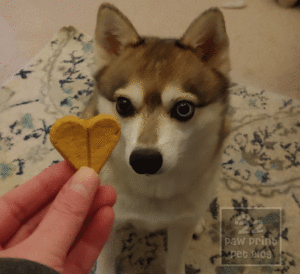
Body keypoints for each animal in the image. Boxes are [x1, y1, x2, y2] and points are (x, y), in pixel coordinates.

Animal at [81, 3, 231, 272]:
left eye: (184, 109)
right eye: (123, 105)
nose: (145, 159)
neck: (153, 192)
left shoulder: (180, 228)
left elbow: (176, 260)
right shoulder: (108, 219)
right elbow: (105, 257)